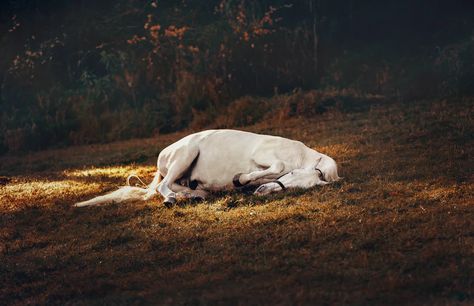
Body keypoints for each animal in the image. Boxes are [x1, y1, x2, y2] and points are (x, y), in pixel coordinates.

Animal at [74, 129, 340, 208]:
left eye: (296, 188)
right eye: (291, 175)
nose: (262, 192)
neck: (299, 154)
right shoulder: (265, 156)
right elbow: (276, 166)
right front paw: (240, 179)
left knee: (177, 185)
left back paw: (196, 194)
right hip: (186, 154)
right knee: (163, 186)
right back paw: (172, 199)